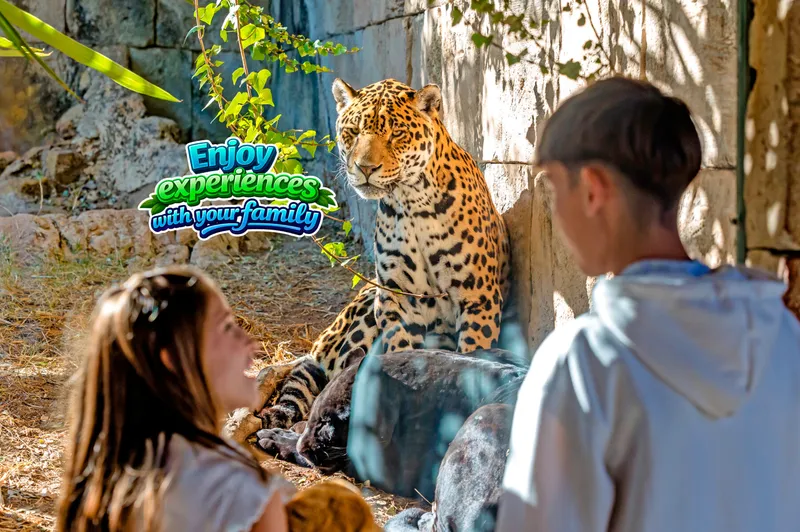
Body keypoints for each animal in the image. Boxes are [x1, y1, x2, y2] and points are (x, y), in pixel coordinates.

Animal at [256, 77, 514, 432]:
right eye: (352, 132)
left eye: (397, 134)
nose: (365, 168)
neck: (412, 202)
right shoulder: (396, 299)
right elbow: (398, 353)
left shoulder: (477, 297)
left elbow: (475, 353)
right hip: (366, 308)